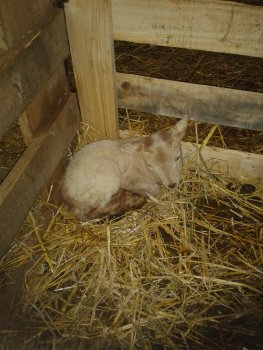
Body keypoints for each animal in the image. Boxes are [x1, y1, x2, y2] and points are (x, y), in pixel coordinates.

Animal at [62, 116, 190, 220]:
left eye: (178, 157)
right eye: (150, 166)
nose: (171, 185)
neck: (140, 162)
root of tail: (66, 189)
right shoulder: (128, 179)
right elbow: (154, 189)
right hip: (108, 174)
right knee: (87, 212)